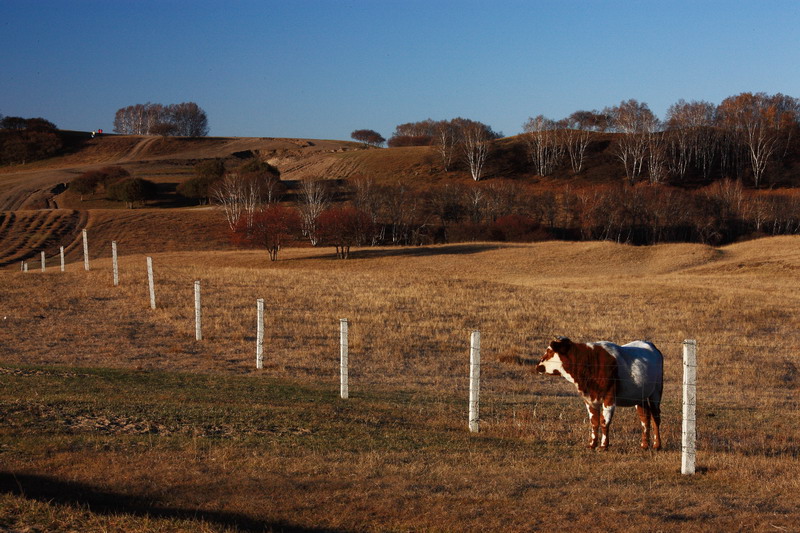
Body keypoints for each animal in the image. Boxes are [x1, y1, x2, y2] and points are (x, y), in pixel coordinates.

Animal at [536, 336, 664, 448]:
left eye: (549, 352)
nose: (538, 366)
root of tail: (650, 344)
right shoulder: (590, 399)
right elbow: (594, 422)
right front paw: (592, 444)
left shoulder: (609, 397)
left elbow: (604, 421)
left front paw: (603, 445)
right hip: (640, 397)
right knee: (645, 418)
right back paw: (644, 445)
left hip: (656, 392)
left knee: (655, 417)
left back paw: (657, 445)